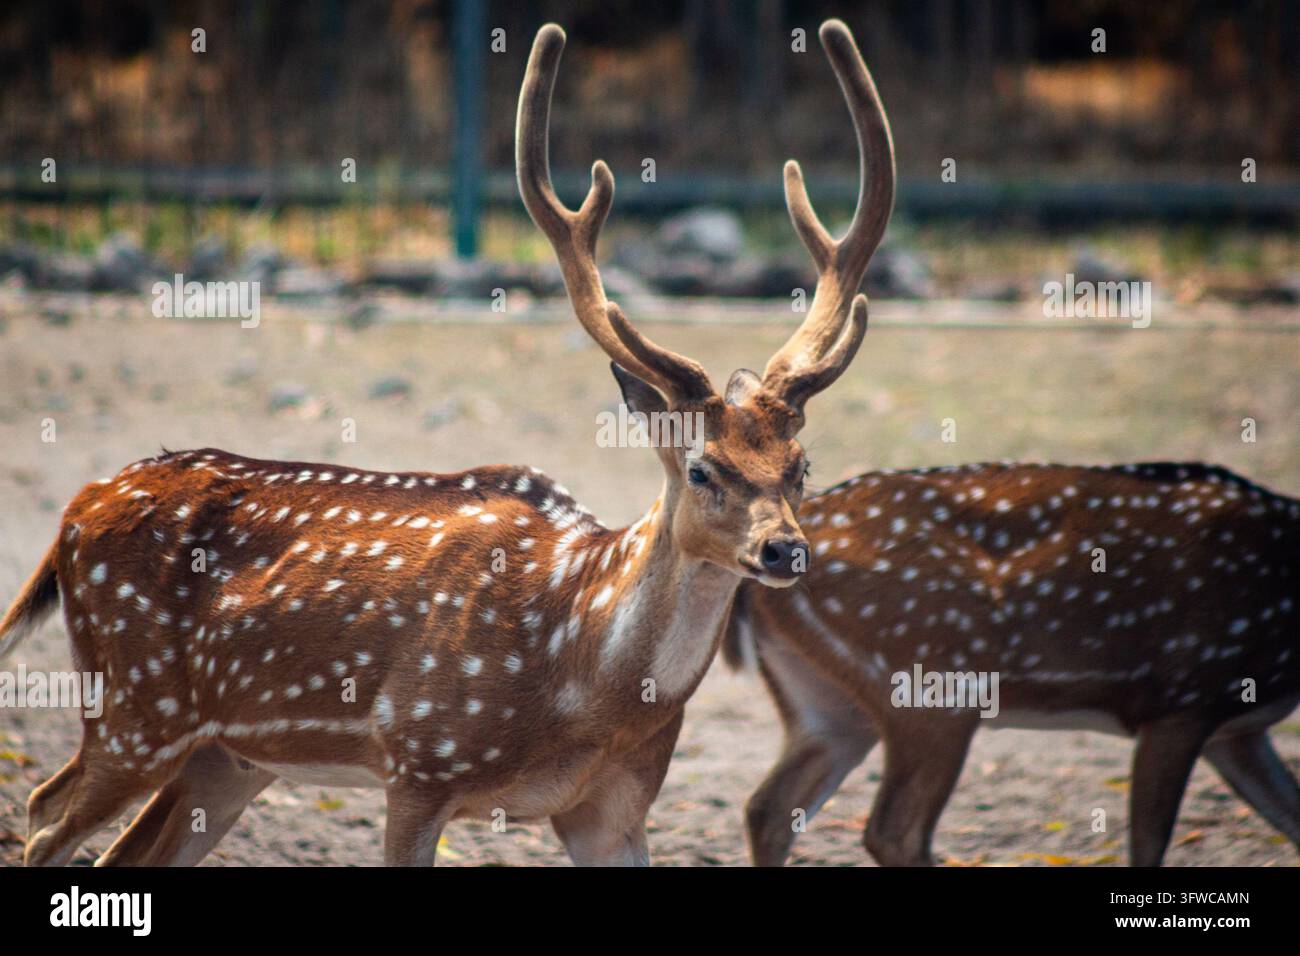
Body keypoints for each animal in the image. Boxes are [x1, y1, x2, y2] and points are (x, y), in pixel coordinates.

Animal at [0, 19, 895, 866]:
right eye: (702, 468)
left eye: (801, 467)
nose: (785, 549)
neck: (578, 671)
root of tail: (76, 509)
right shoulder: (419, 760)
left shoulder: (614, 805)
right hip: (136, 702)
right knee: (45, 813)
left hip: (226, 754)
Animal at [726, 461, 1300, 866]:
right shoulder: (1183, 698)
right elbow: (1149, 845)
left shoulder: (1236, 730)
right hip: (930, 687)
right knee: (893, 831)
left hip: (828, 706)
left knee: (769, 808)